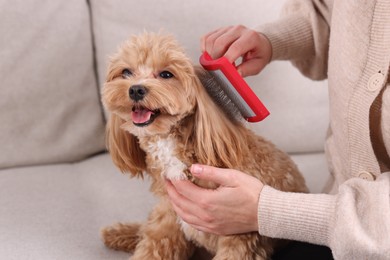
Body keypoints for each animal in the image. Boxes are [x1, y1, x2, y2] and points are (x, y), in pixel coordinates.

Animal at [100, 33, 308, 260]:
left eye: (166, 74)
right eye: (126, 72)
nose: (136, 89)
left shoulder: (240, 236)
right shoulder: (168, 221)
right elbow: (152, 247)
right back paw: (119, 233)